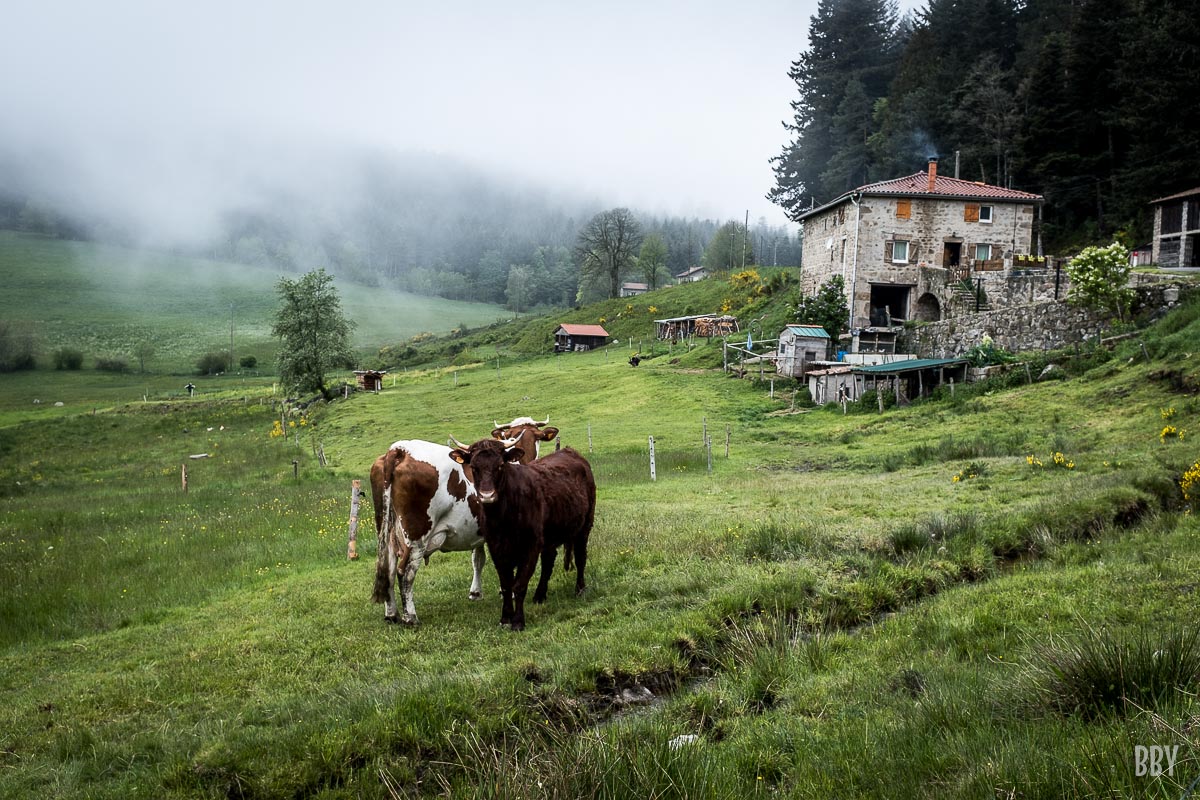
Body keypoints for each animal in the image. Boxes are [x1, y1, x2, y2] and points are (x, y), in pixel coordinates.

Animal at [448, 438, 597, 633]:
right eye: (473, 467)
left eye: (500, 465)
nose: (487, 496)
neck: (503, 516)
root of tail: (570, 452)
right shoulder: (497, 548)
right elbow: (506, 585)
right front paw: (505, 618)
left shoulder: (530, 547)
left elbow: (519, 585)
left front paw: (518, 621)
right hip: (549, 538)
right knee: (548, 562)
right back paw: (540, 595)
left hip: (584, 527)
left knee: (580, 558)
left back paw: (580, 589)